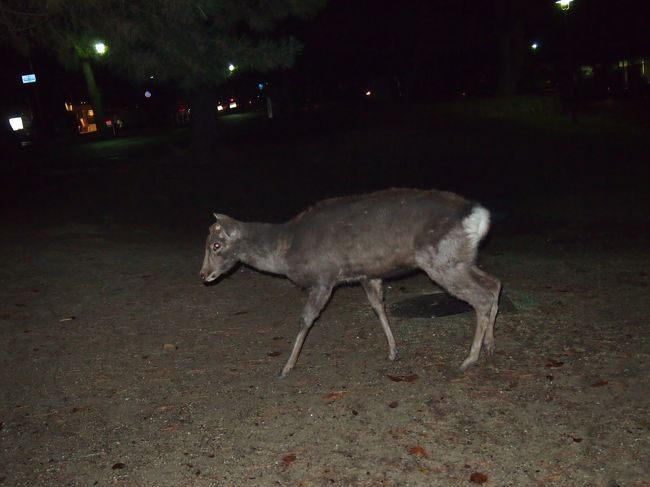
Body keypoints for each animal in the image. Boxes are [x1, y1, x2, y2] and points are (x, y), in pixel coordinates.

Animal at [200, 188, 501, 378]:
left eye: (216, 245)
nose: (203, 275)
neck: (287, 251)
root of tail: (478, 215)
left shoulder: (324, 277)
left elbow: (305, 320)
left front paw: (286, 367)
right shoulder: (368, 274)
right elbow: (378, 307)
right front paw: (393, 351)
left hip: (442, 260)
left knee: (481, 297)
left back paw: (468, 360)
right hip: (461, 259)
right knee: (494, 284)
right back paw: (490, 346)